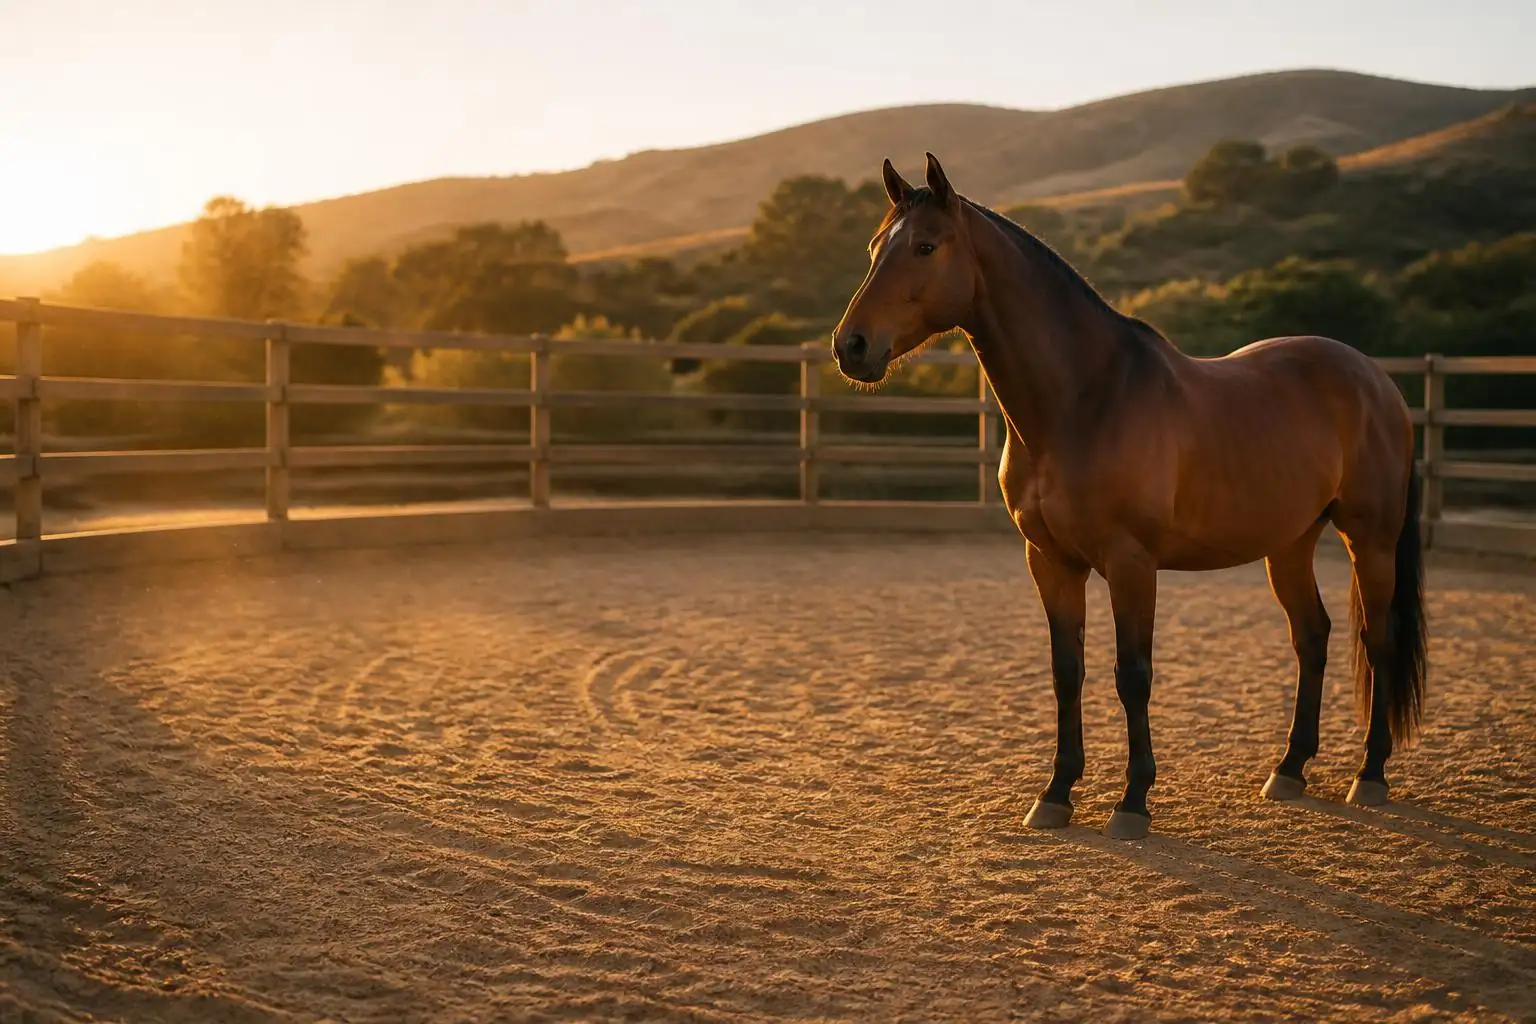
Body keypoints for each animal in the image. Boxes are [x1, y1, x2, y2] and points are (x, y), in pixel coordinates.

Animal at [830, 153, 1426, 840]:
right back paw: (1290, 770)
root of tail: (1376, 379)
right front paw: (1056, 793)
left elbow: (1132, 675)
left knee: (1379, 642)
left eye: (926, 246)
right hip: (1290, 543)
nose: (850, 346)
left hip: (1370, 539)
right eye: (875, 247)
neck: (1084, 400)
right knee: (1313, 635)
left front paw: (1132, 801)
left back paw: (1370, 775)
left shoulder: (1131, 563)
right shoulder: (1051, 562)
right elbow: (1067, 672)